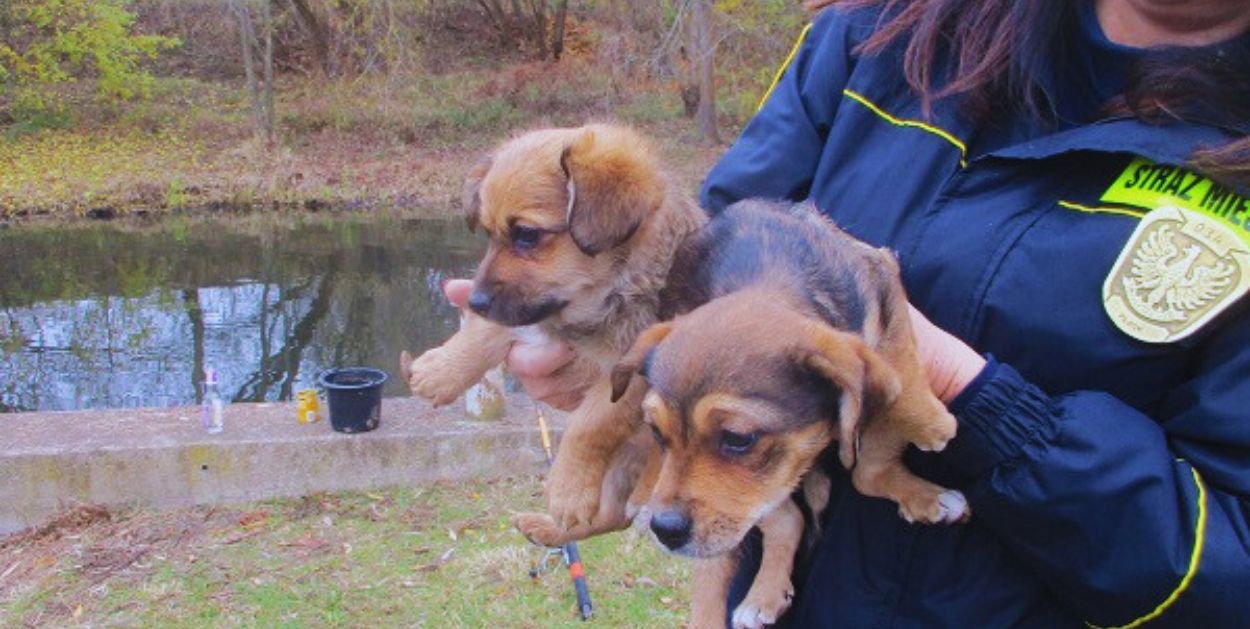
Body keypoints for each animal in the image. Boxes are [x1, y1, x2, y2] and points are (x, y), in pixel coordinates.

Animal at [402, 123, 710, 542]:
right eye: (490, 235)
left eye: (526, 235)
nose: (476, 301)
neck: (603, 300)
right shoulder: (529, 310)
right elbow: (487, 333)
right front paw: (441, 370)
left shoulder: (631, 378)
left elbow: (590, 424)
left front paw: (567, 489)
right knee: (609, 517)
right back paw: (546, 530)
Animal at [610, 198, 970, 627]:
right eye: (657, 433)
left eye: (738, 438)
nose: (663, 530)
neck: (768, 276)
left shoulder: (881, 279)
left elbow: (898, 364)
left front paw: (931, 422)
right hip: (770, 481)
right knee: (799, 513)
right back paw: (763, 594)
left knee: (864, 472)